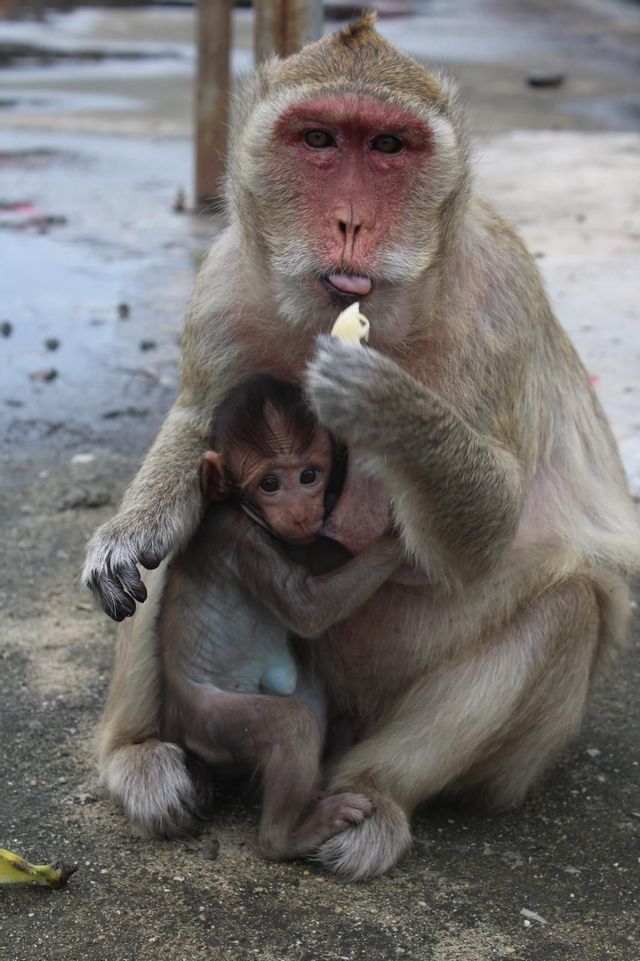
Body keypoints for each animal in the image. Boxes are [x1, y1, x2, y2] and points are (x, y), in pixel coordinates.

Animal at [99, 374, 403, 855]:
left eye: (308, 476)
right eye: (270, 484)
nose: (299, 511)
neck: (245, 511)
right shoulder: (240, 540)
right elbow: (307, 608)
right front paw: (396, 542)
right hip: (212, 720)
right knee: (291, 726)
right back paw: (288, 835)